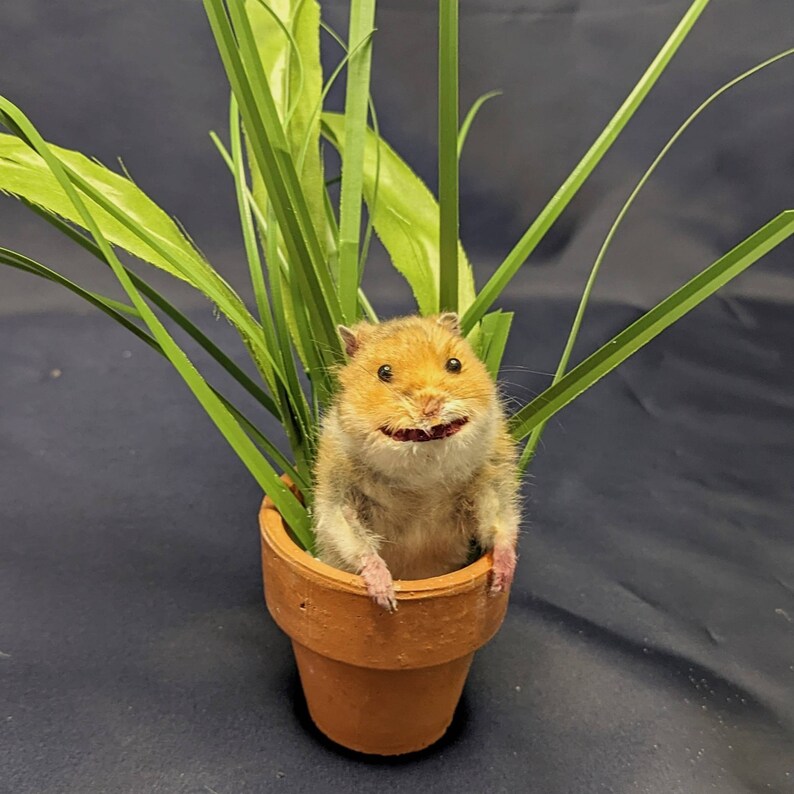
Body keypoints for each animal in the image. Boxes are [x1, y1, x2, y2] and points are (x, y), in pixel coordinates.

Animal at [312, 312, 520, 611]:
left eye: (454, 364)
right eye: (383, 372)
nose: (431, 406)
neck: (423, 476)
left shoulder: (493, 479)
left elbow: (500, 524)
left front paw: (500, 583)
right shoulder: (337, 496)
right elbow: (357, 543)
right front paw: (387, 600)